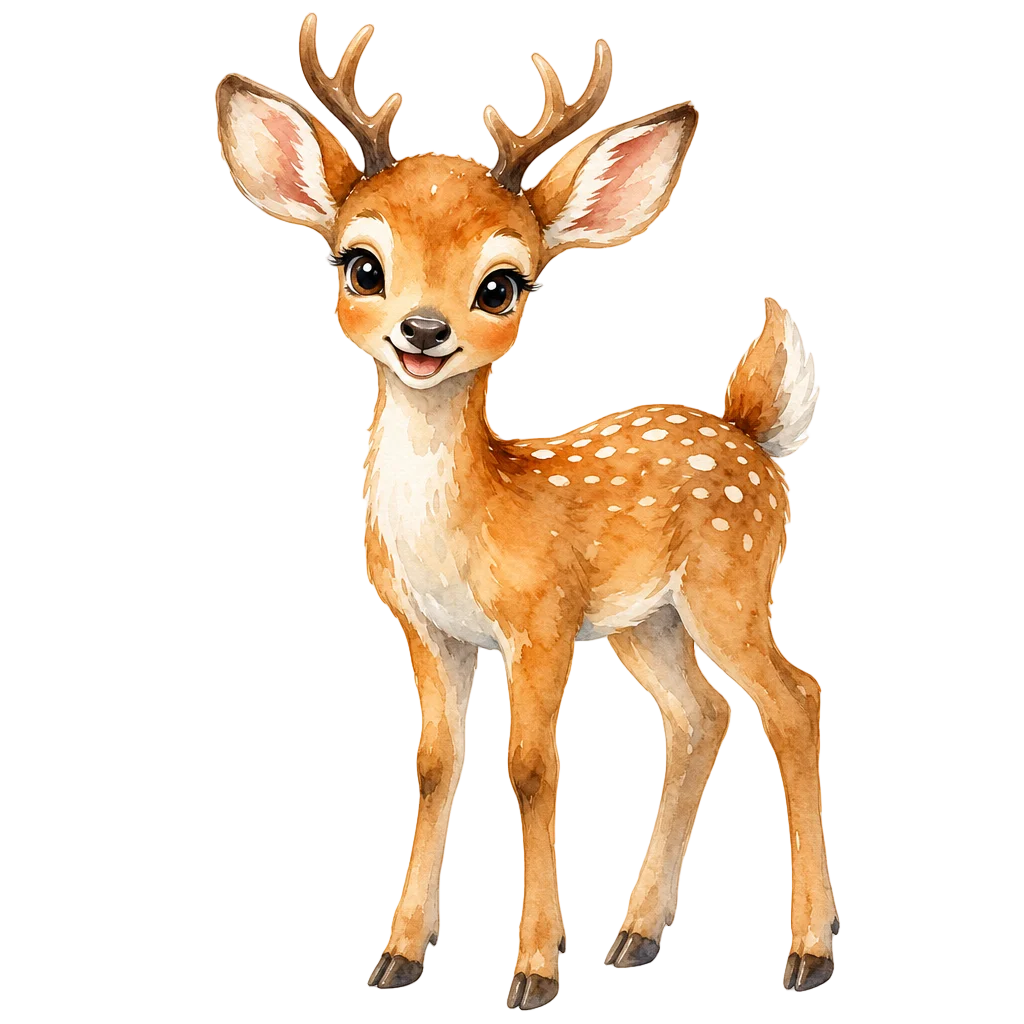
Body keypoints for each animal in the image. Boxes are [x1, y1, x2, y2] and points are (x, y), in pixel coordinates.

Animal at [214, 13, 837, 1010]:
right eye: (362, 264)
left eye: (502, 284)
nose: (423, 332)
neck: (466, 526)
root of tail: (754, 433)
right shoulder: (428, 630)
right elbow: (437, 768)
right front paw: (398, 957)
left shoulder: (541, 617)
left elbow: (533, 768)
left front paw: (534, 970)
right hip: (643, 622)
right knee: (702, 717)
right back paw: (636, 937)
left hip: (729, 581)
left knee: (794, 699)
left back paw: (809, 954)